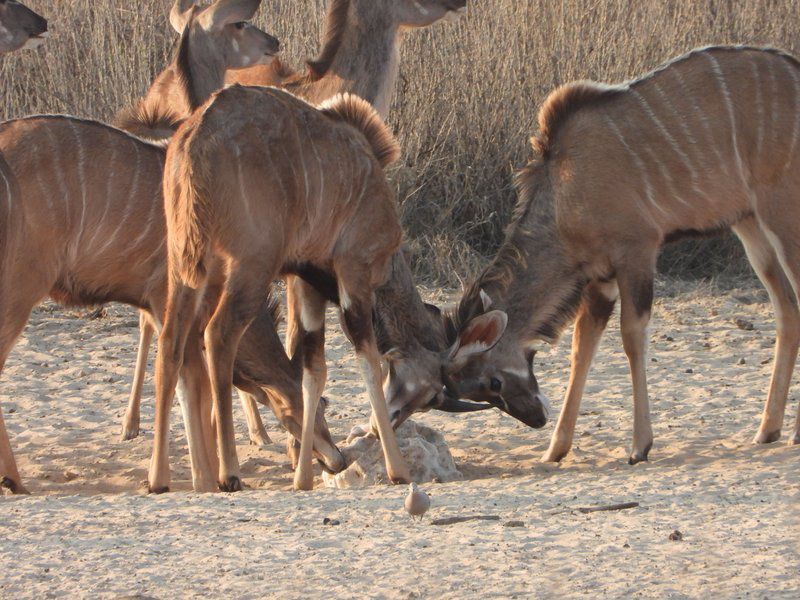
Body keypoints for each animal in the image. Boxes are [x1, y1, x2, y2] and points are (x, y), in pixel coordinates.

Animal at [160, 89, 416, 492]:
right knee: (218, 335)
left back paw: (159, 478)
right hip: (250, 267)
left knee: (172, 340)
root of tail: (195, 139)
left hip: (187, 267)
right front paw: (398, 469)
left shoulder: (308, 284)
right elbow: (369, 363)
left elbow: (313, 372)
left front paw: (303, 476)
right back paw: (228, 472)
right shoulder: (353, 273)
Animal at [438, 45, 800, 464]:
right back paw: (767, 429)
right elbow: (582, 346)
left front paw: (639, 446)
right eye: (483, 391)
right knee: (787, 310)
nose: (537, 418)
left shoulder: (637, 252)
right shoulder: (600, 277)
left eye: (493, 382)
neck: (564, 193)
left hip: (783, 215)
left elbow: (631, 337)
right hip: (751, 225)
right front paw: (555, 449)